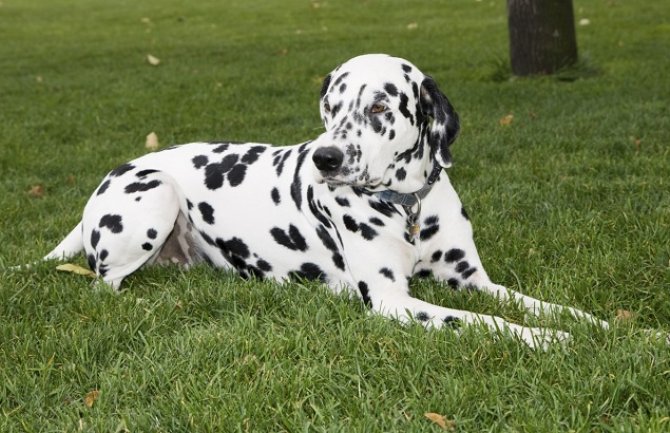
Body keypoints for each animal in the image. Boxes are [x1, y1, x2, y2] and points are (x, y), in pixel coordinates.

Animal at [42, 54, 608, 352]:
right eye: (331, 106)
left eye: (380, 106)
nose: (326, 157)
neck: (406, 206)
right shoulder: (393, 302)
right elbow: (481, 321)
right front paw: (548, 338)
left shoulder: (474, 281)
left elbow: (538, 303)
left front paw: (599, 323)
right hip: (155, 193)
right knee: (103, 285)